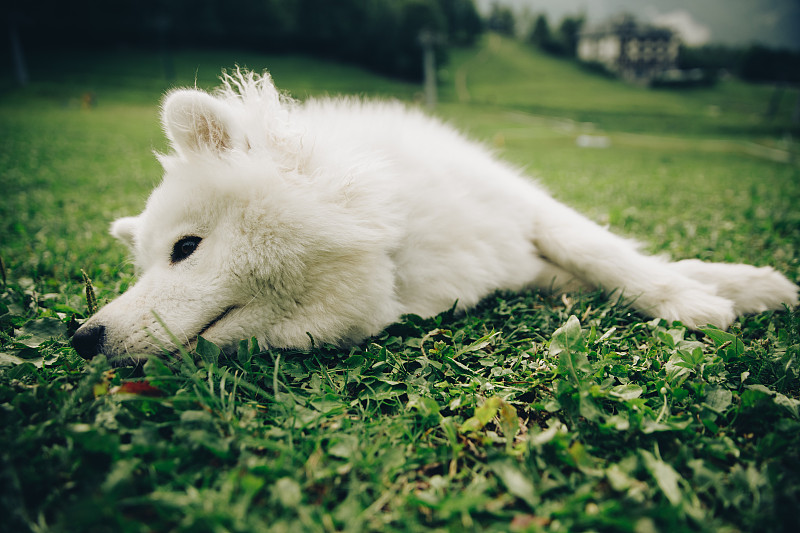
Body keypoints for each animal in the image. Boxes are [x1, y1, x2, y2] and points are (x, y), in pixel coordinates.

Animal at [72, 68, 796, 364]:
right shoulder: (516, 265)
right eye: (142, 268)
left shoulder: (526, 211)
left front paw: (711, 294)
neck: (393, 240)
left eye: (185, 248)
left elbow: (612, 257)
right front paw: (720, 291)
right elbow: (602, 271)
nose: (82, 336)